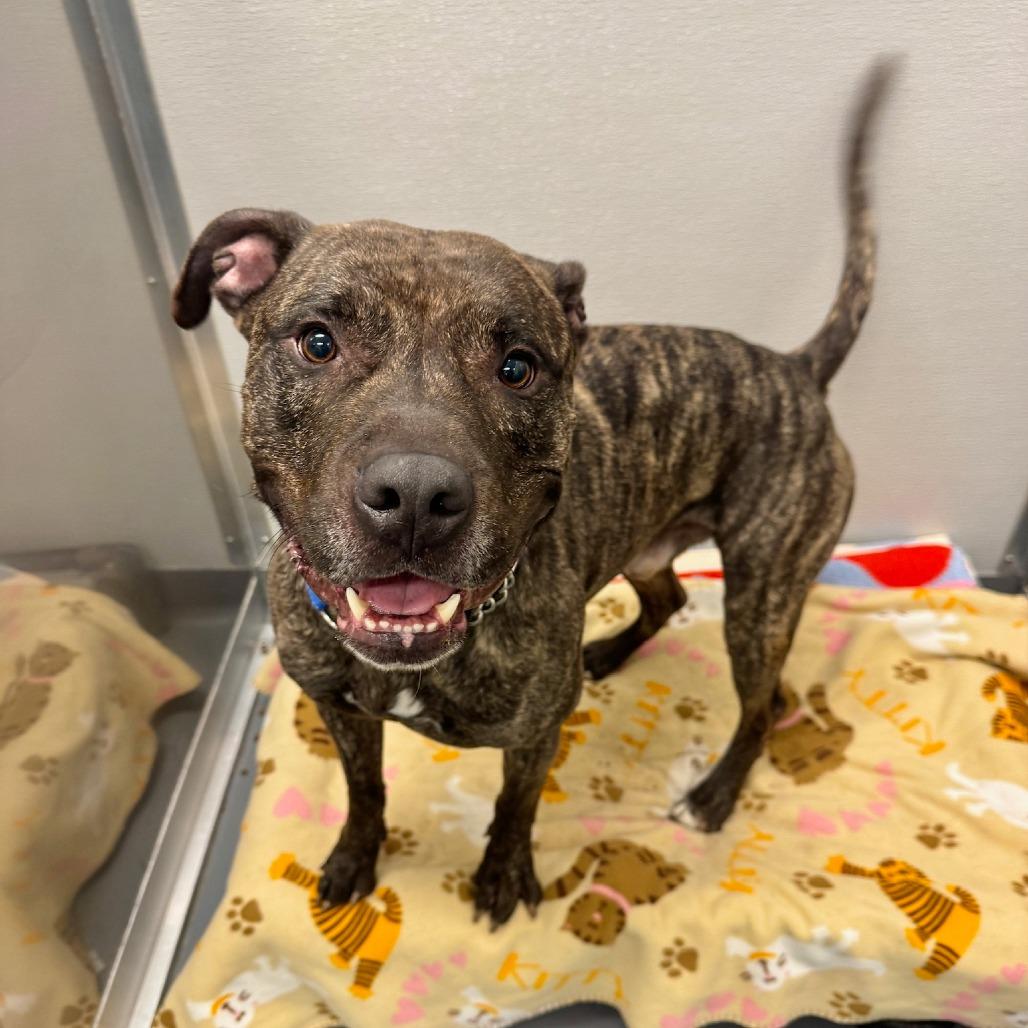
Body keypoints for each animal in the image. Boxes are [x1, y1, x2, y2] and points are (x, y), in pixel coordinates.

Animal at [825, 855, 980, 979]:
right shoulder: (879, 874)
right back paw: (915, 940)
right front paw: (837, 865)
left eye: (903, 870)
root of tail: (972, 914)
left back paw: (923, 969)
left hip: (951, 946)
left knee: (941, 959)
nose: (887, 861)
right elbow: (859, 870)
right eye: (894, 863)